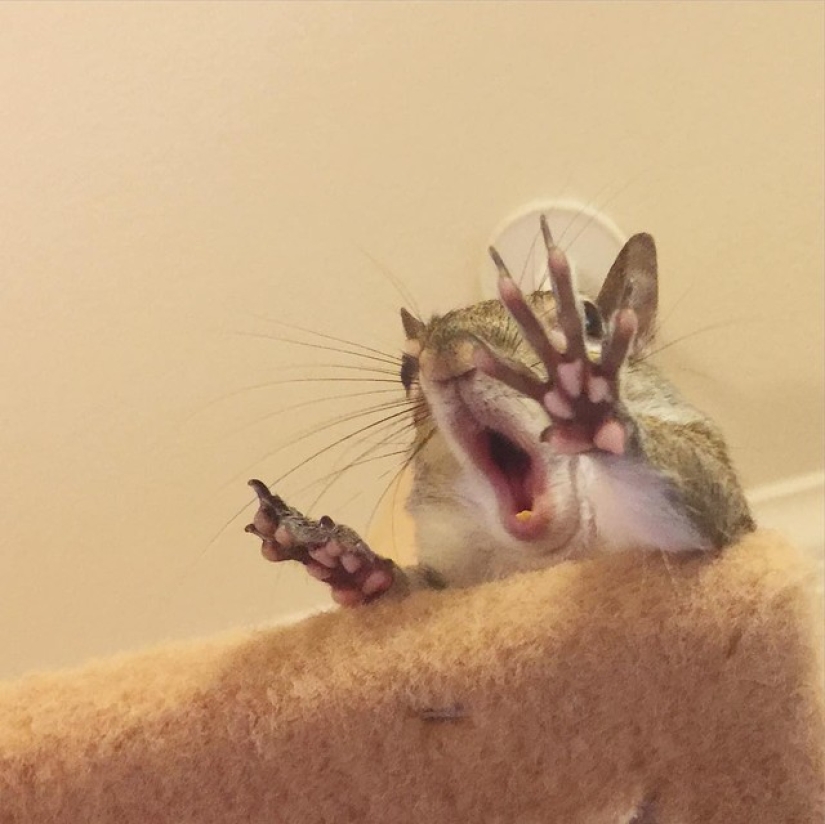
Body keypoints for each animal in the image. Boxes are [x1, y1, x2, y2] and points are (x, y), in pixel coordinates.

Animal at [245, 217, 755, 607]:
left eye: (591, 320)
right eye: (406, 369)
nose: (449, 356)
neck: (548, 557)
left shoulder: (720, 497)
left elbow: (700, 500)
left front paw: (586, 400)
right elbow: (412, 593)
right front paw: (348, 560)